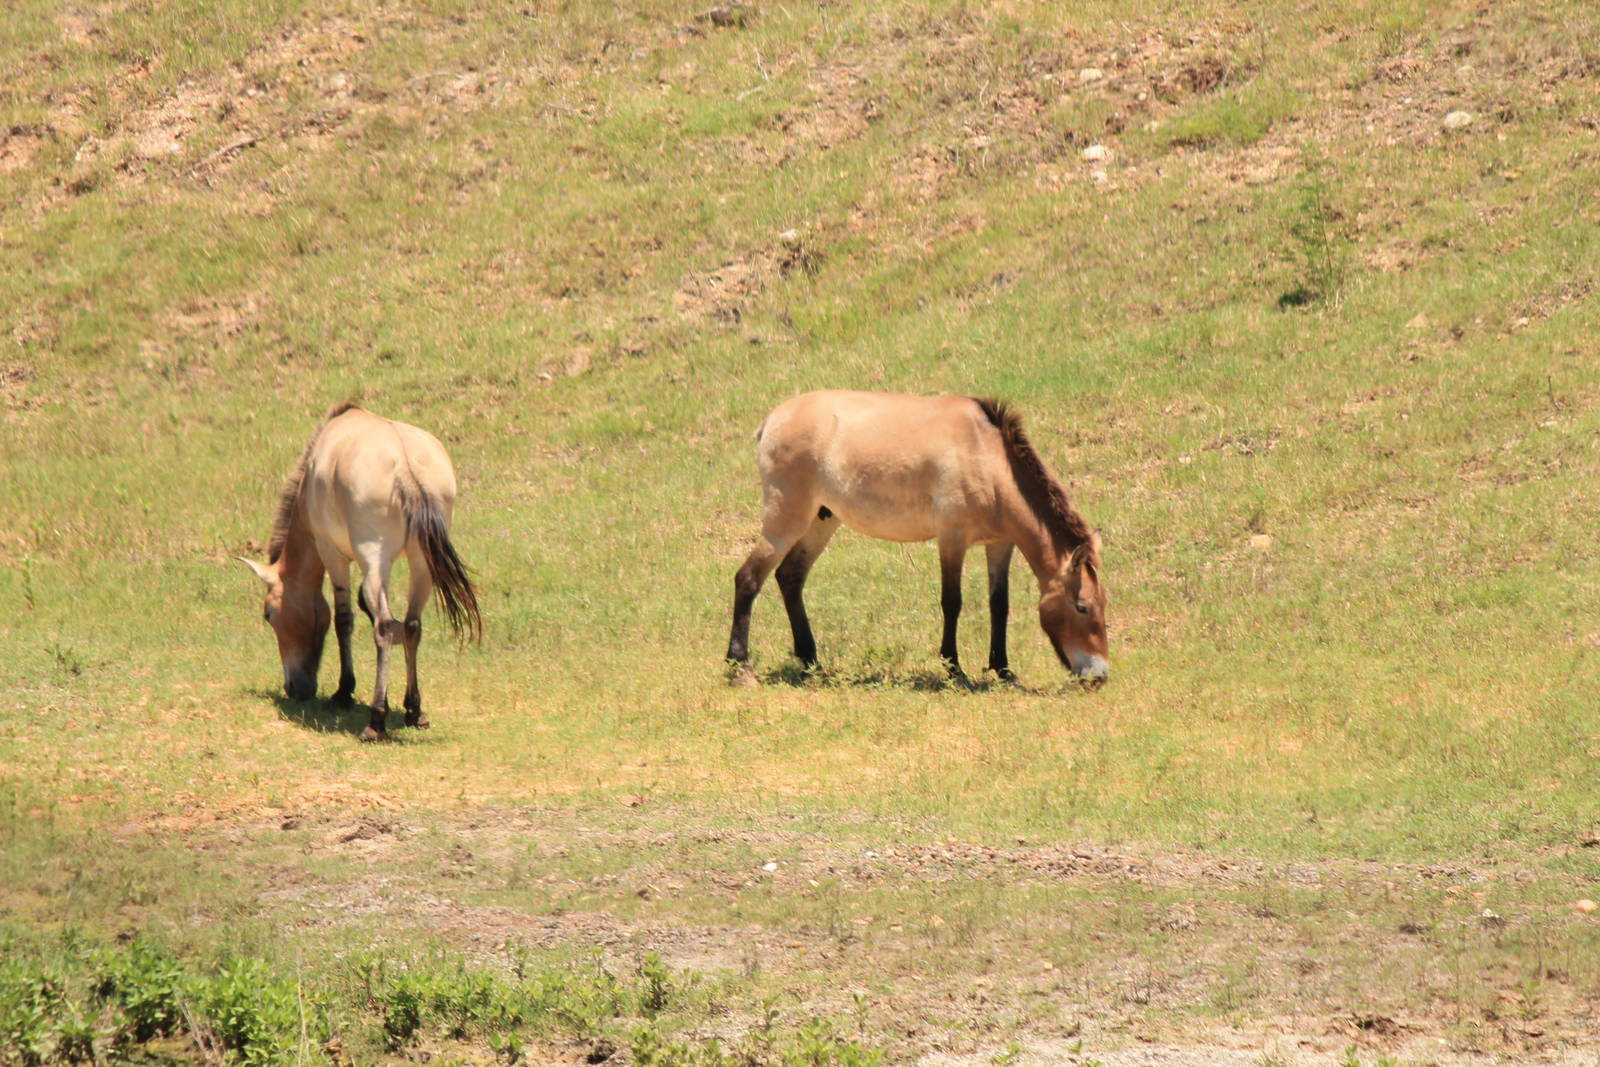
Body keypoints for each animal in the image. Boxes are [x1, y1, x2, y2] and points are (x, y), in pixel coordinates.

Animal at [240, 402, 482, 741]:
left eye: (269, 615)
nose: (295, 689)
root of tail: (406, 466)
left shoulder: (333, 554)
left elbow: (344, 620)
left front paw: (344, 691)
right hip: (421, 564)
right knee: (412, 625)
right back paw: (414, 710)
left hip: (375, 558)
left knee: (383, 626)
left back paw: (375, 721)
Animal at [724, 391, 1108, 687]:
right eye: (1082, 606)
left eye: (1103, 604)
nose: (1099, 675)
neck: (987, 458)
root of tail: (773, 420)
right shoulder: (952, 539)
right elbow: (952, 602)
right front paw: (955, 671)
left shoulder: (1000, 544)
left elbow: (999, 604)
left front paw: (1003, 670)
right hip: (785, 520)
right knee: (748, 579)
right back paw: (739, 668)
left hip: (820, 522)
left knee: (790, 577)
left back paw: (810, 662)